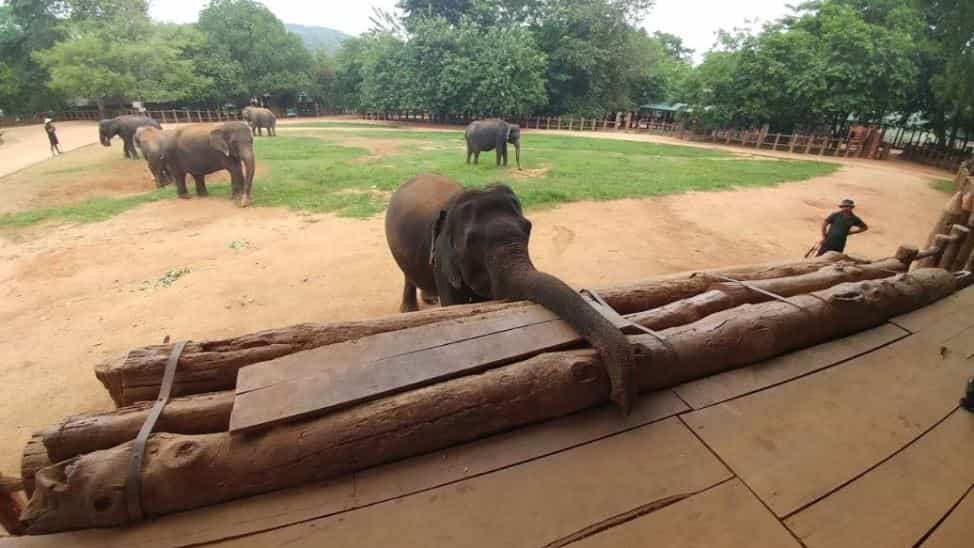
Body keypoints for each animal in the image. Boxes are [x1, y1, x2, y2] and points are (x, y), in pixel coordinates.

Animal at [386, 173, 644, 414]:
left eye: (528, 228)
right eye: (471, 243)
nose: (619, 400)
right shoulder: (443, 263)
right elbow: (454, 305)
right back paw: (409, 310)